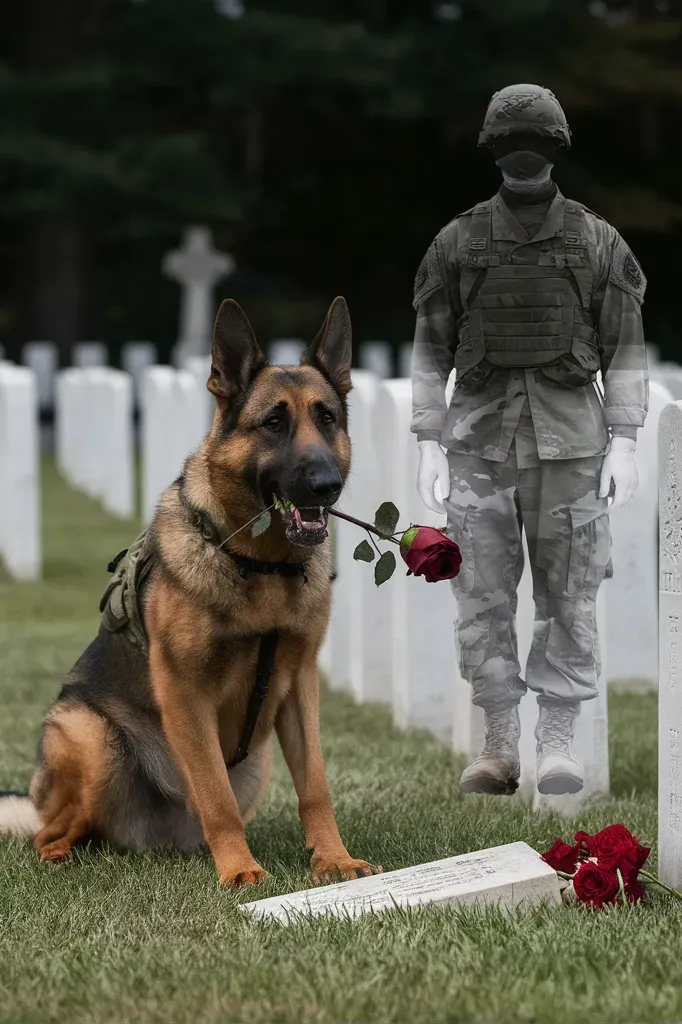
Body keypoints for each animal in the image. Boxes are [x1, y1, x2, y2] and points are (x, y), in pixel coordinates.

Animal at [0, 296, 382, 888]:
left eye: (328, 419)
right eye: (274, 422)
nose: (327, 487)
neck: (259, 565)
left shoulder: (299, 686)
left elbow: (315, 786)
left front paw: (334, 860)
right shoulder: (185, 691)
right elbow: (214, 794)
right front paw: (241, 872)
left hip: (256, 761)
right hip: (90, 736)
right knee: (52, 831)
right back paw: (64, 856)